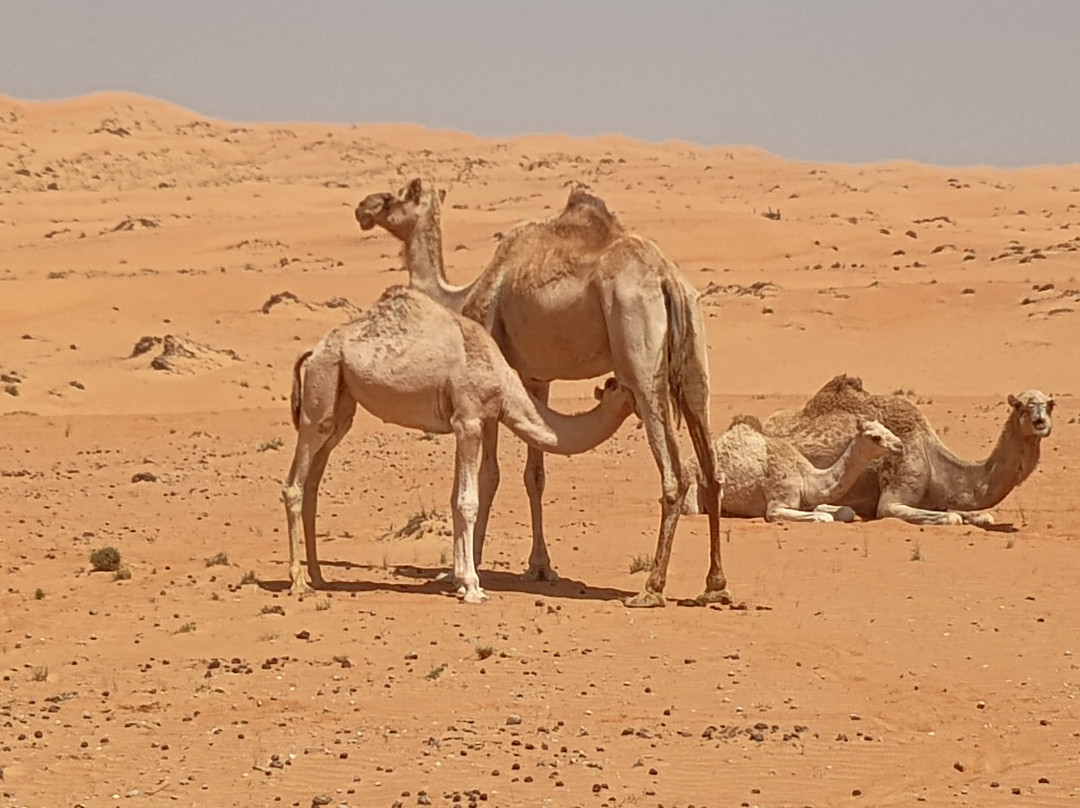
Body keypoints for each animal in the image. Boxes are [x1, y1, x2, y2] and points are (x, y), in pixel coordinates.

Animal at [282, 285, 637, 602]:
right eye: (622, 388)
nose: (639, 397)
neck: (503, 384)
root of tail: (314, 351)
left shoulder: (463, 424)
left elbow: (455, 499)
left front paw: (459, 580)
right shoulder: (468, 420)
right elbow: (467, 502)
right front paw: (472, 586)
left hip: (340, 402)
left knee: (314, 481)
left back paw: (318, 576)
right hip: (320, 391)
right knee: (295, 484)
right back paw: (299, 582)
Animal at [354, 178, 724, 607]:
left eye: (394, 196)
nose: (363, 208)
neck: (464, 294)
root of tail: (667, 279)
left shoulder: (493, 373)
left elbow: (489, 475)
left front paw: (464, 571)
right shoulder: (537, 378)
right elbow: (536, 475)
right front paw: (540, 567)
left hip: (640, 358)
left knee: (674, 473)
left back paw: (651, 587)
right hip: (695, 358)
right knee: (711, 466)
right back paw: (715, 585)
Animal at [681, 415, 903, 522]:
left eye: (888, 428)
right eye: (875, 437)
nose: (900, 445)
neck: (806, 479)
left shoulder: (809, 500)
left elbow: (845, 511)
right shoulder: (777, 504)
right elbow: (822, 518)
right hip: (693, 485)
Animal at [761, 374, 1054, 526]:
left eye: (1051, 404)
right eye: (1020, 406)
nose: (1040, 423)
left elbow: (981, 516)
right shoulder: (894, 495)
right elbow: (950, 518)